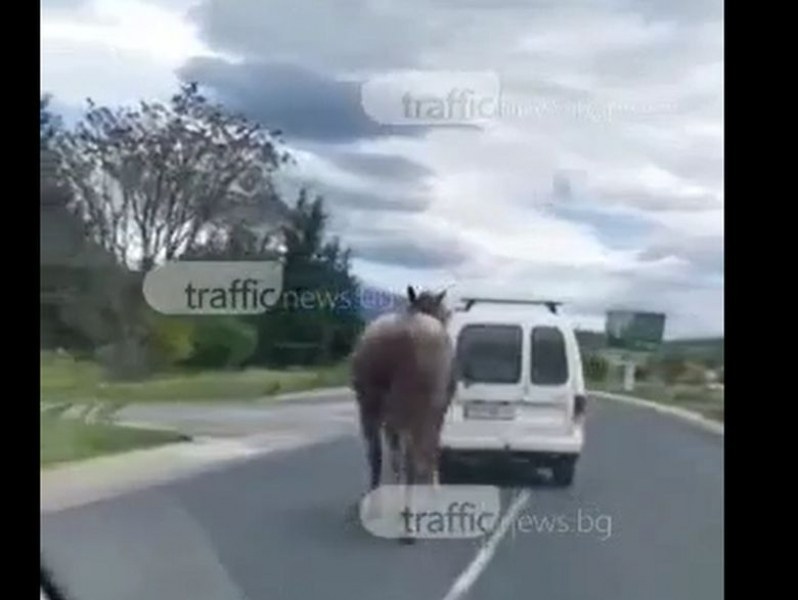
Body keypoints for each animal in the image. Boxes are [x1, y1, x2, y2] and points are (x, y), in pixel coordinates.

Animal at [352, 284, 456, 540]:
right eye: (446, 313)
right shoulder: (437, 412)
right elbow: (431, 451)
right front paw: (434, 491)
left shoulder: (391, 421)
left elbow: (394, 457)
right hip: (413, 409)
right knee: (412, 457)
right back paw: (409, 523)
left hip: (369, 405)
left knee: (376, 454)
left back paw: (376, 505)